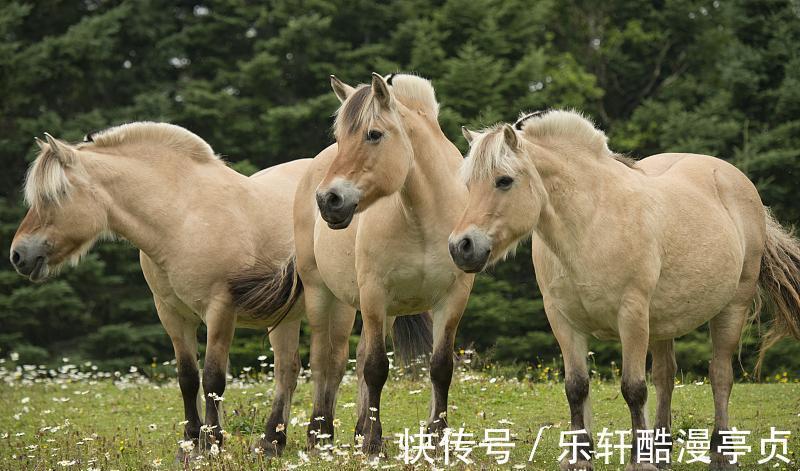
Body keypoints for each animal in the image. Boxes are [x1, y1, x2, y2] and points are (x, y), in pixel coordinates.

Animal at [10, 123, 310, 460]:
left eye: (56, 195)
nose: (18, 255)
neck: (182, 217)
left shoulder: (220, 311)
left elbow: (213, 379)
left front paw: (213, 443)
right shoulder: (172, 314)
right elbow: (188, 378)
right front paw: (190, 444)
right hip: (286, 318)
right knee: (287, 370)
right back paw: (272, 443)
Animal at [292, 74, 476, 458]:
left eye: (373, 134)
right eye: (340, 137)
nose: (328, 200)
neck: (423, 217)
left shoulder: (452, 298)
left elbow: (440, 367)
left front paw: (436, 440)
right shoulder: (375, 294)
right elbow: (376, 368)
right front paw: (374, 444)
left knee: (354, 357)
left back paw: (358, 430)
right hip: (324, 295)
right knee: (324, 361)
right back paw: (320, 434)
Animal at [450, 109, 800, 470]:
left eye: (504, 180)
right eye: (469, 185)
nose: (462, 247)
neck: (591, 222)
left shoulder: (631, 316)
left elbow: (633, 389)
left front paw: (639, 460)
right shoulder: (563, 320)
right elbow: (576, 387)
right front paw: (579, 459)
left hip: (732, 308)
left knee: (719, 375)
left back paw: (721, 453)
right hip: (662, 323)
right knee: (666, 377)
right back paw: (662, 452)